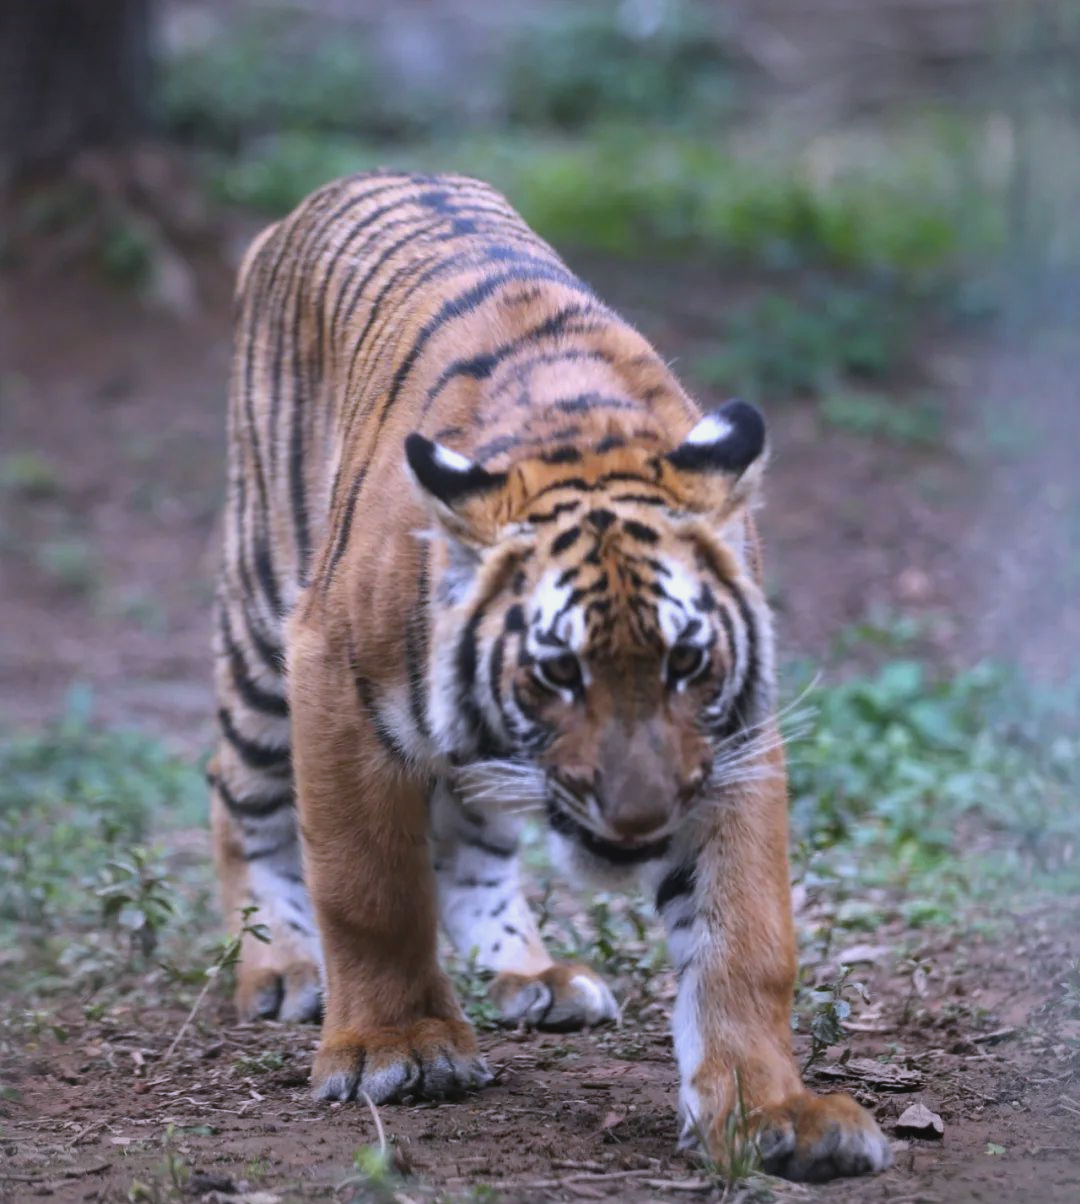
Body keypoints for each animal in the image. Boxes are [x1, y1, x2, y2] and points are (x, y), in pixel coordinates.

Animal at [208, 170, 892, 1182]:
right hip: (261, 626)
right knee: (239, 800)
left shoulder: (732, 744)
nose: (641, 822)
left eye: (687, 662)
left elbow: (744, 938)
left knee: (474, 849)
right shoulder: (335, 680)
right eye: (558, 671)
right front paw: (394, 1048)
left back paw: (531, 975)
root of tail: (339, 187)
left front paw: (773, 1111)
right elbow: (370, 889)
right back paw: (279, 968)